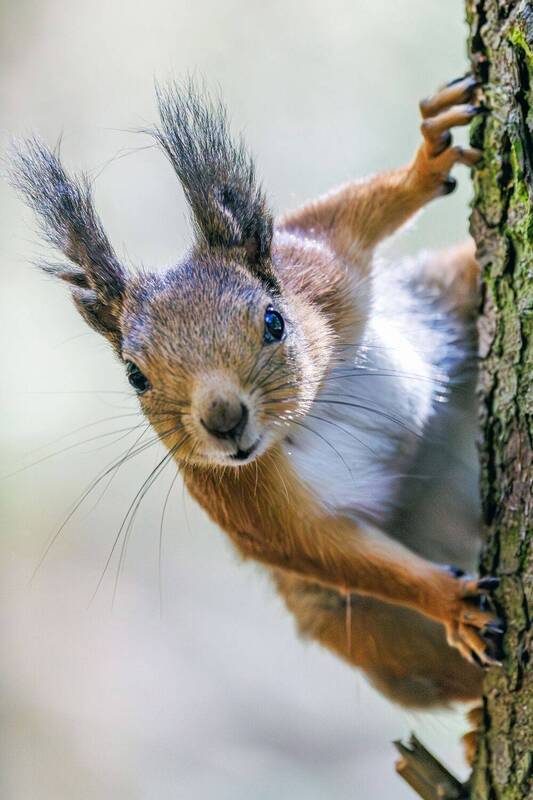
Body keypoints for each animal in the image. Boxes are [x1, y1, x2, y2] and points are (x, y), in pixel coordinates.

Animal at [11, 74, 503, 767]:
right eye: (135, 375)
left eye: (274, 321)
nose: (223, 420)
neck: (311, 414)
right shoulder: (243, 500)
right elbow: (331, 552)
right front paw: (450, 601)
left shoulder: (322, 272)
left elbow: (352, 211)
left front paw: (427, 157)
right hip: (375, 638)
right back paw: (475, 719)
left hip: (448, 289)